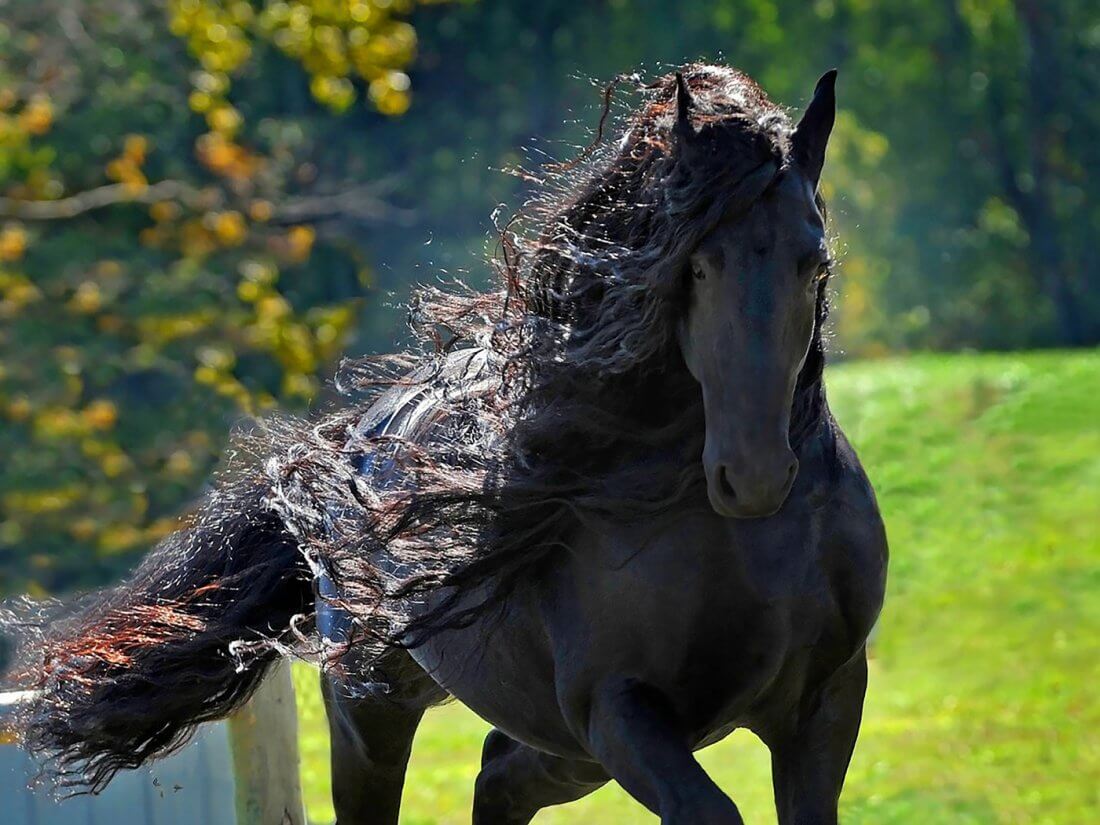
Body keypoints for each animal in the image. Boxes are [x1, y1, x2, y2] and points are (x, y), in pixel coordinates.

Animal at [1, 64, 887, 825]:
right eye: (697, 267)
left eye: (814, 263)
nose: (754, 474)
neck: (742, 550)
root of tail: (350, 444)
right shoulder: (620, 709)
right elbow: (707, 807)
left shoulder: (824, 702)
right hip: (379, 709)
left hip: (559, 747)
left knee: (498, 777)